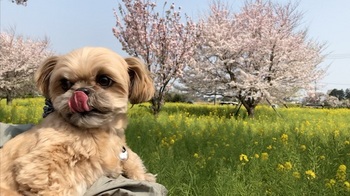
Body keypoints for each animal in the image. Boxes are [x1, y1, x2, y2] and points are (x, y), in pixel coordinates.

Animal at [0, 46, 156, 195]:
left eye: (104, 80)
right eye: (65, 83)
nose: (81, 91)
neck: (96, 132)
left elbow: (131, 158)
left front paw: (142, 175)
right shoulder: (39, 169)